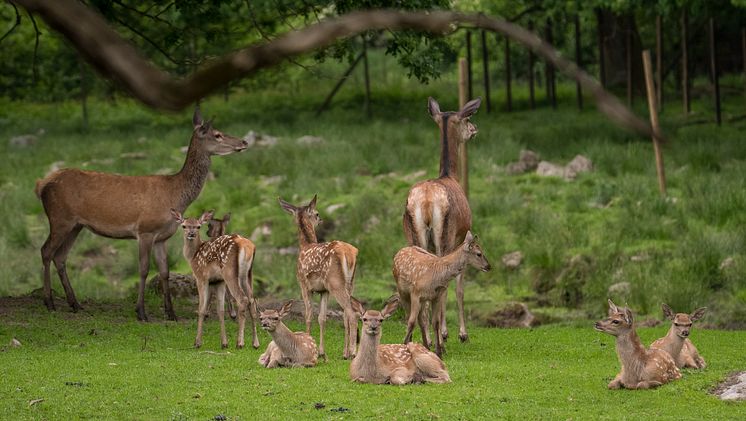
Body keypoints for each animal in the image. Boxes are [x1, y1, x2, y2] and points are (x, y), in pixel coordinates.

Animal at [35, 106, 247, 320]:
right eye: (217, 134)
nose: (244, 142)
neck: (176, 196)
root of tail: (42, 185)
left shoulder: (162, 237)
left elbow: (164, 271)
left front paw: (171, 313)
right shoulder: (145, 230)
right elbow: (144, 269)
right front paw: (141, 312)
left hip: (76, 225)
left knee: (60, 256)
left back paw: (75, 304)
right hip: (60, 218)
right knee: (46, 251)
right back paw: (49, 302)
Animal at [171, 208, 258, 350]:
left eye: (198, 226)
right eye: (184, 225)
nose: (191, 234)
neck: (193, 256)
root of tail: (247, 245)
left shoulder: (201, 277)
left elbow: (201, 309)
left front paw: (197, 342)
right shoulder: (218, 281)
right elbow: (220, 310)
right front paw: (224, 343)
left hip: (230, 272)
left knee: (242, 299)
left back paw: (240, 343)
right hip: (247, 275)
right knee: (252, 300)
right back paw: (255, 343)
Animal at [280, 195, 360, 360]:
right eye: (317, 214)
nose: (321, 219)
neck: (305, 245)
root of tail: (349, 253)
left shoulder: (303, 285)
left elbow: (308, 315)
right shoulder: (324, 290)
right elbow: (322, 318)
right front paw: (322, 352)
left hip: (336, 282)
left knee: (351, 313)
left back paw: (352, 352)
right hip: (349, 283)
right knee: (346, 314)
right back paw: (345, 352)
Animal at [402, 95, 482, 342]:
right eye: (467, 119)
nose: (475, 130)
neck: (450, 175)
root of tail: (427, 202)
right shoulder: (461, 239)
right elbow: (459, 285)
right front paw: (460, 333)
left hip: (413, 234)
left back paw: (425, 334)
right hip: (444, 234)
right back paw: (439, 333)